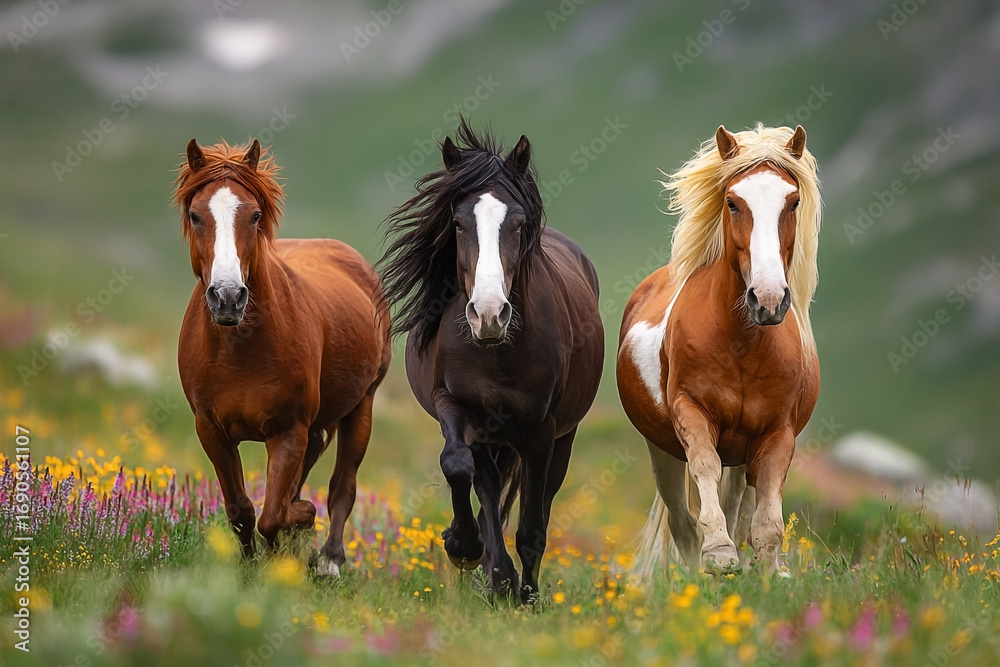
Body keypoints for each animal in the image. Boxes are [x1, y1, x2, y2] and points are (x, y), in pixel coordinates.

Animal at [174, 139, 391, 575]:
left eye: (255, 215)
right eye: (195, 215)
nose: (228, 297)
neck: (239, 348)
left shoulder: (289, 431)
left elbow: (274, 514)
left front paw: (298, 524)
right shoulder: (211, 430)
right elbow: (241, 509)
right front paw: (249, 564)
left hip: (362, 405)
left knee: (343, 486)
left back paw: (330, 559)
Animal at [378, 120, 604, 601]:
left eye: (518, 224)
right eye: (457, 223)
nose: (487, 314)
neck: (497, 353)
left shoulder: (542, 430)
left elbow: (532, 524)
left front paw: (526, 594)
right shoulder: (459, 408)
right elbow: (459, 468)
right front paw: (466, 549)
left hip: (562, 438)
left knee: (537, 497)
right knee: (488, 487)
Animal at [618, 124, 821, 574]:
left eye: (794, 201)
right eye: (732, 202)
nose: (768, 299)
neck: (741, 346)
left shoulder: (776, 434)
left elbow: (766, 525)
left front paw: (767, 572)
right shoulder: (691, 413)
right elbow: (704, 470)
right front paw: (720, 552)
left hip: (741, 457)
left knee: (733, 508)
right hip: (662, 452)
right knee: (682, 524)